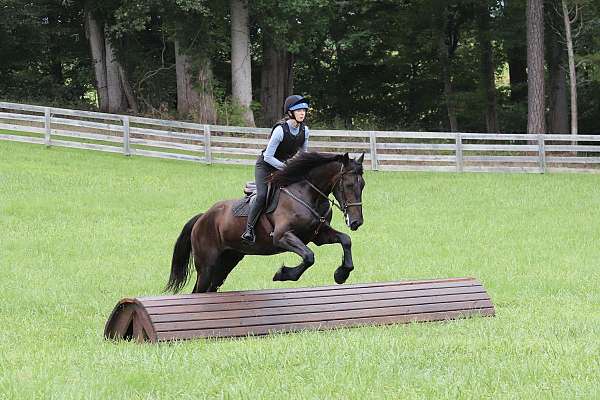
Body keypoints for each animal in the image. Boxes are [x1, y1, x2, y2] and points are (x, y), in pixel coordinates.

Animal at [166, 152, 368, 292]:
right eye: (349, 185)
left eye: (363, 185)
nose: (356, 222)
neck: (308, 195)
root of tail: (202, 218)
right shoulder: (282, 237)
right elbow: (309, 256)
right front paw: (283, 274)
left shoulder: (318, 236)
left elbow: (345, 240)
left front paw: (341, 274)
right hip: (207, 265)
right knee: (199, 291)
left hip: (228, 260)